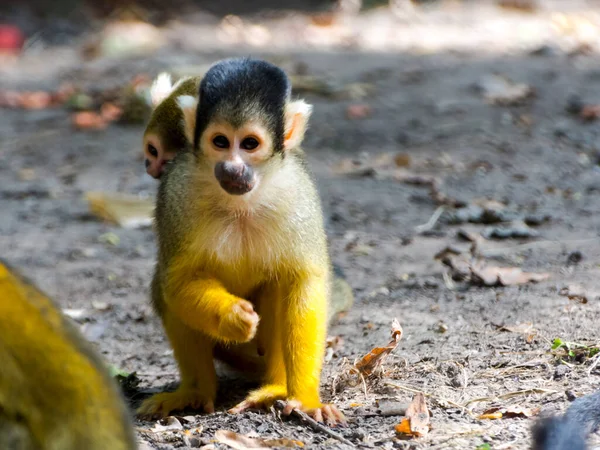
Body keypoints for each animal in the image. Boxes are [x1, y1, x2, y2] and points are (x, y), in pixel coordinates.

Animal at [138, 59, 346, 426]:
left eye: (249, 144)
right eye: (220, 141)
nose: (233, 168)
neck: (242, 203)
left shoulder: (299, 193)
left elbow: (304, 282)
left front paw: (306, 398)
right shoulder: (176, 192)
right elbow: (176, 281)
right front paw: (232, 316)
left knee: (281, 282)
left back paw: (275, 388)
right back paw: (195, 391)